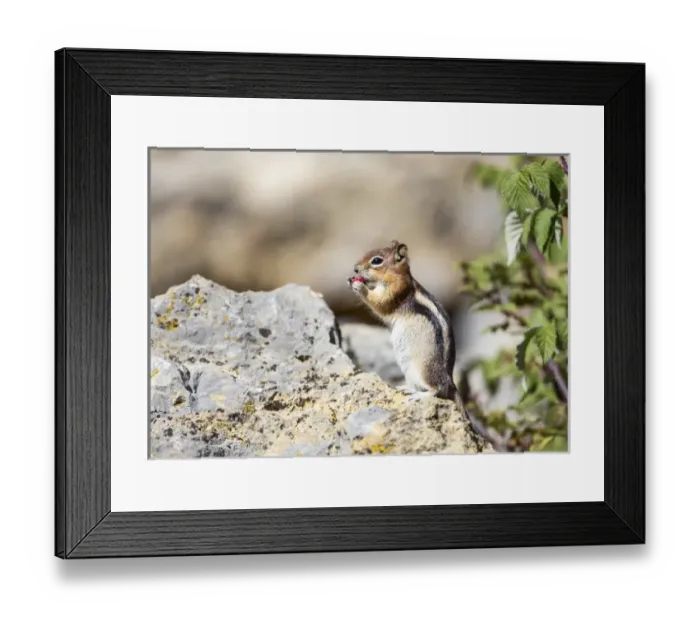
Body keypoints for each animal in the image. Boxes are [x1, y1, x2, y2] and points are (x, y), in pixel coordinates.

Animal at [347, 240, 503, 451]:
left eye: (376, 260)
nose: (355, 269)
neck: (397, 275)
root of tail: (451, 381)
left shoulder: (396, 291)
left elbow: (379, 303)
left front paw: (359, 286)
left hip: (425, 371)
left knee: (437, 390)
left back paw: (418, 396)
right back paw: (407, 388)